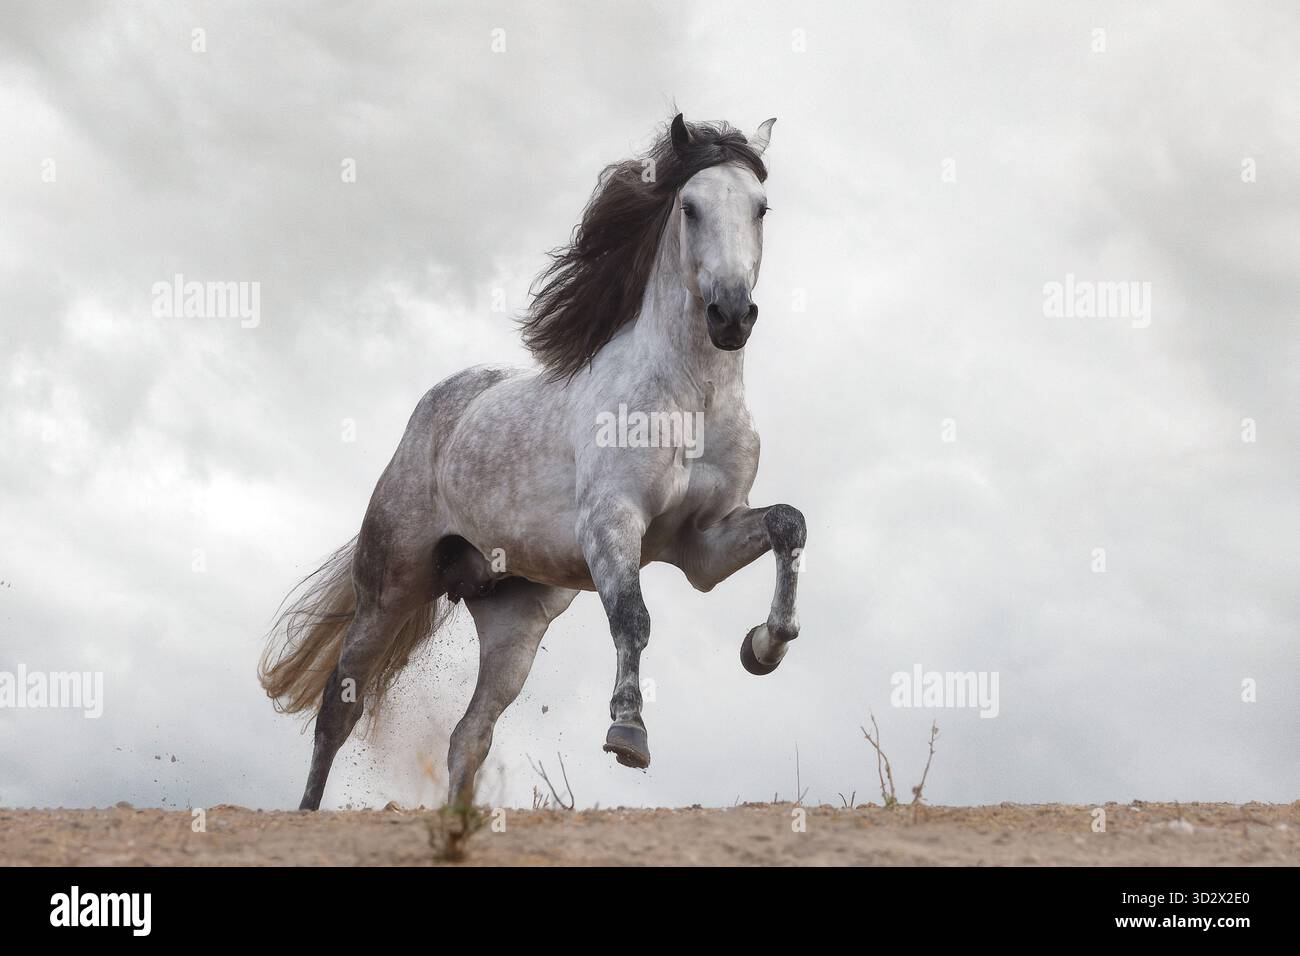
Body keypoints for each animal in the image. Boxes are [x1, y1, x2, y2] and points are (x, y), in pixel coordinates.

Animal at [259, 114, 807, 811]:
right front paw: (628, 733)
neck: (694, 398)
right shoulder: (611, 524)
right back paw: (307, 812)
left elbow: (788, 523)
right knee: (339, 706)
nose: (732, 314)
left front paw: (764, 647)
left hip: (514, 623)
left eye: (761, 208)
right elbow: (633, 618)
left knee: (469, 736)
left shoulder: (702, 547)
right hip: (391, 586)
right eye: (690, 206)